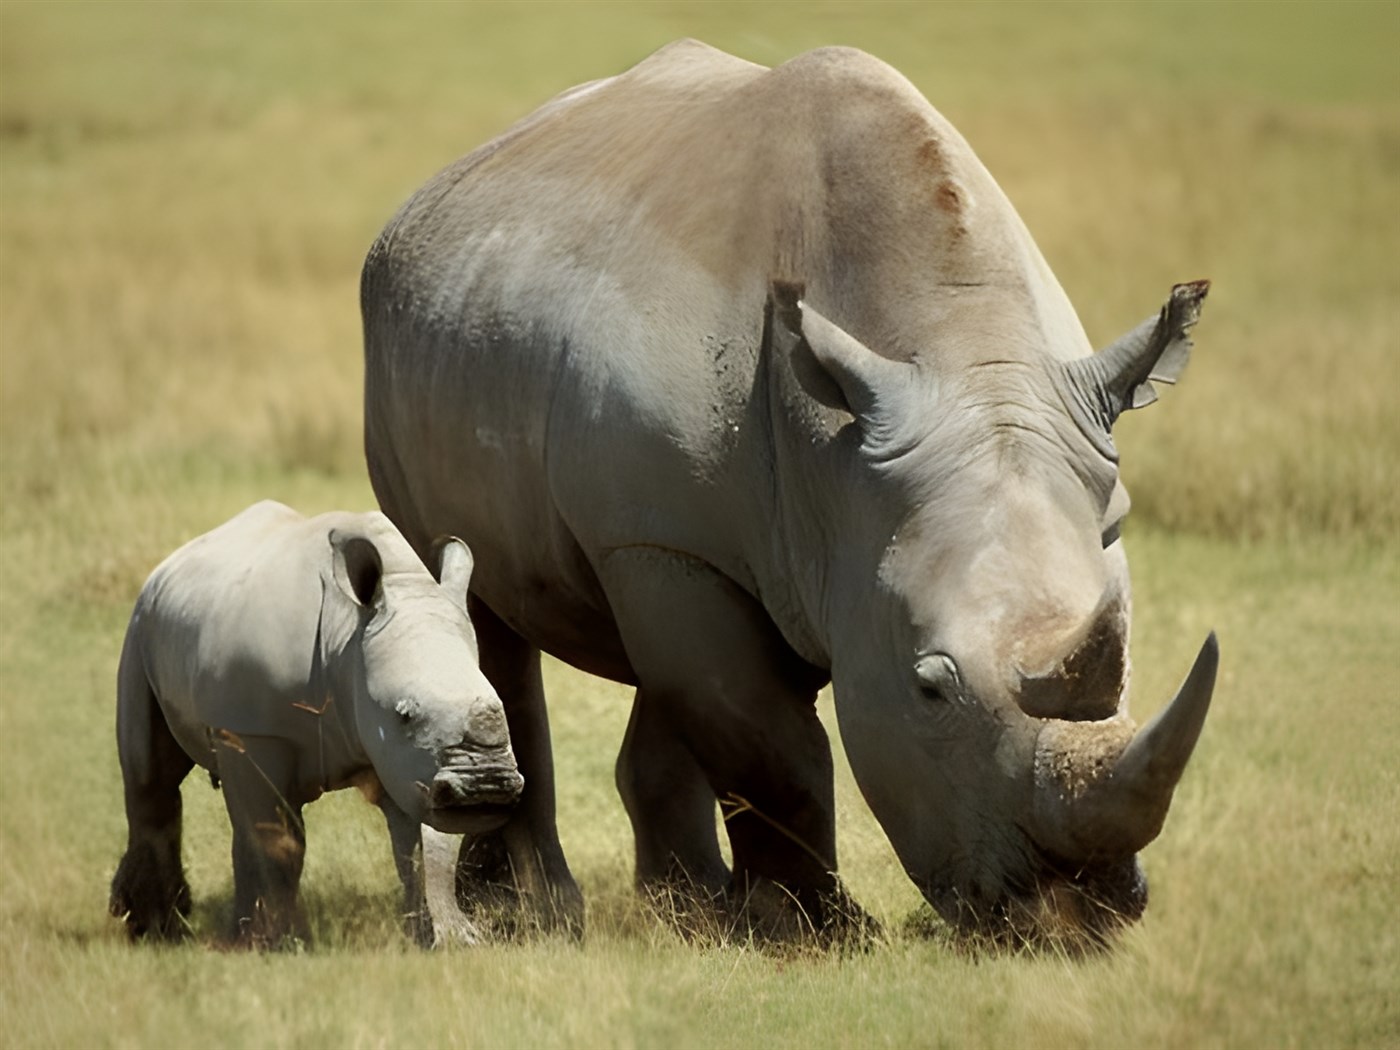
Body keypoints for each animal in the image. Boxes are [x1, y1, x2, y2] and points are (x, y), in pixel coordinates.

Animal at [109, 500, 523, 947]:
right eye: (404, 714)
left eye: (500, 707)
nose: (487, 786)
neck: (348, 637)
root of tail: (166, 565)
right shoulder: (255, 732)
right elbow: (275, 841)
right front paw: (273, 944)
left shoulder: (415, 764)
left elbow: (431, 844)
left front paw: (451, 939)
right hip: (139, 625)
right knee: (151, 777)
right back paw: (154, 930)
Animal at [359, 40, 1218, 945]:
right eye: (930, 688)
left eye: (1124, 668)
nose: (1073, 922)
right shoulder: (663, 540)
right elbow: (770, 745)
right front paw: (817, 932)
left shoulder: (812, 546)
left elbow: (738, 716)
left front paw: (742, 921)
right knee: (482, 608)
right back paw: (533, 912)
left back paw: (686, 907)